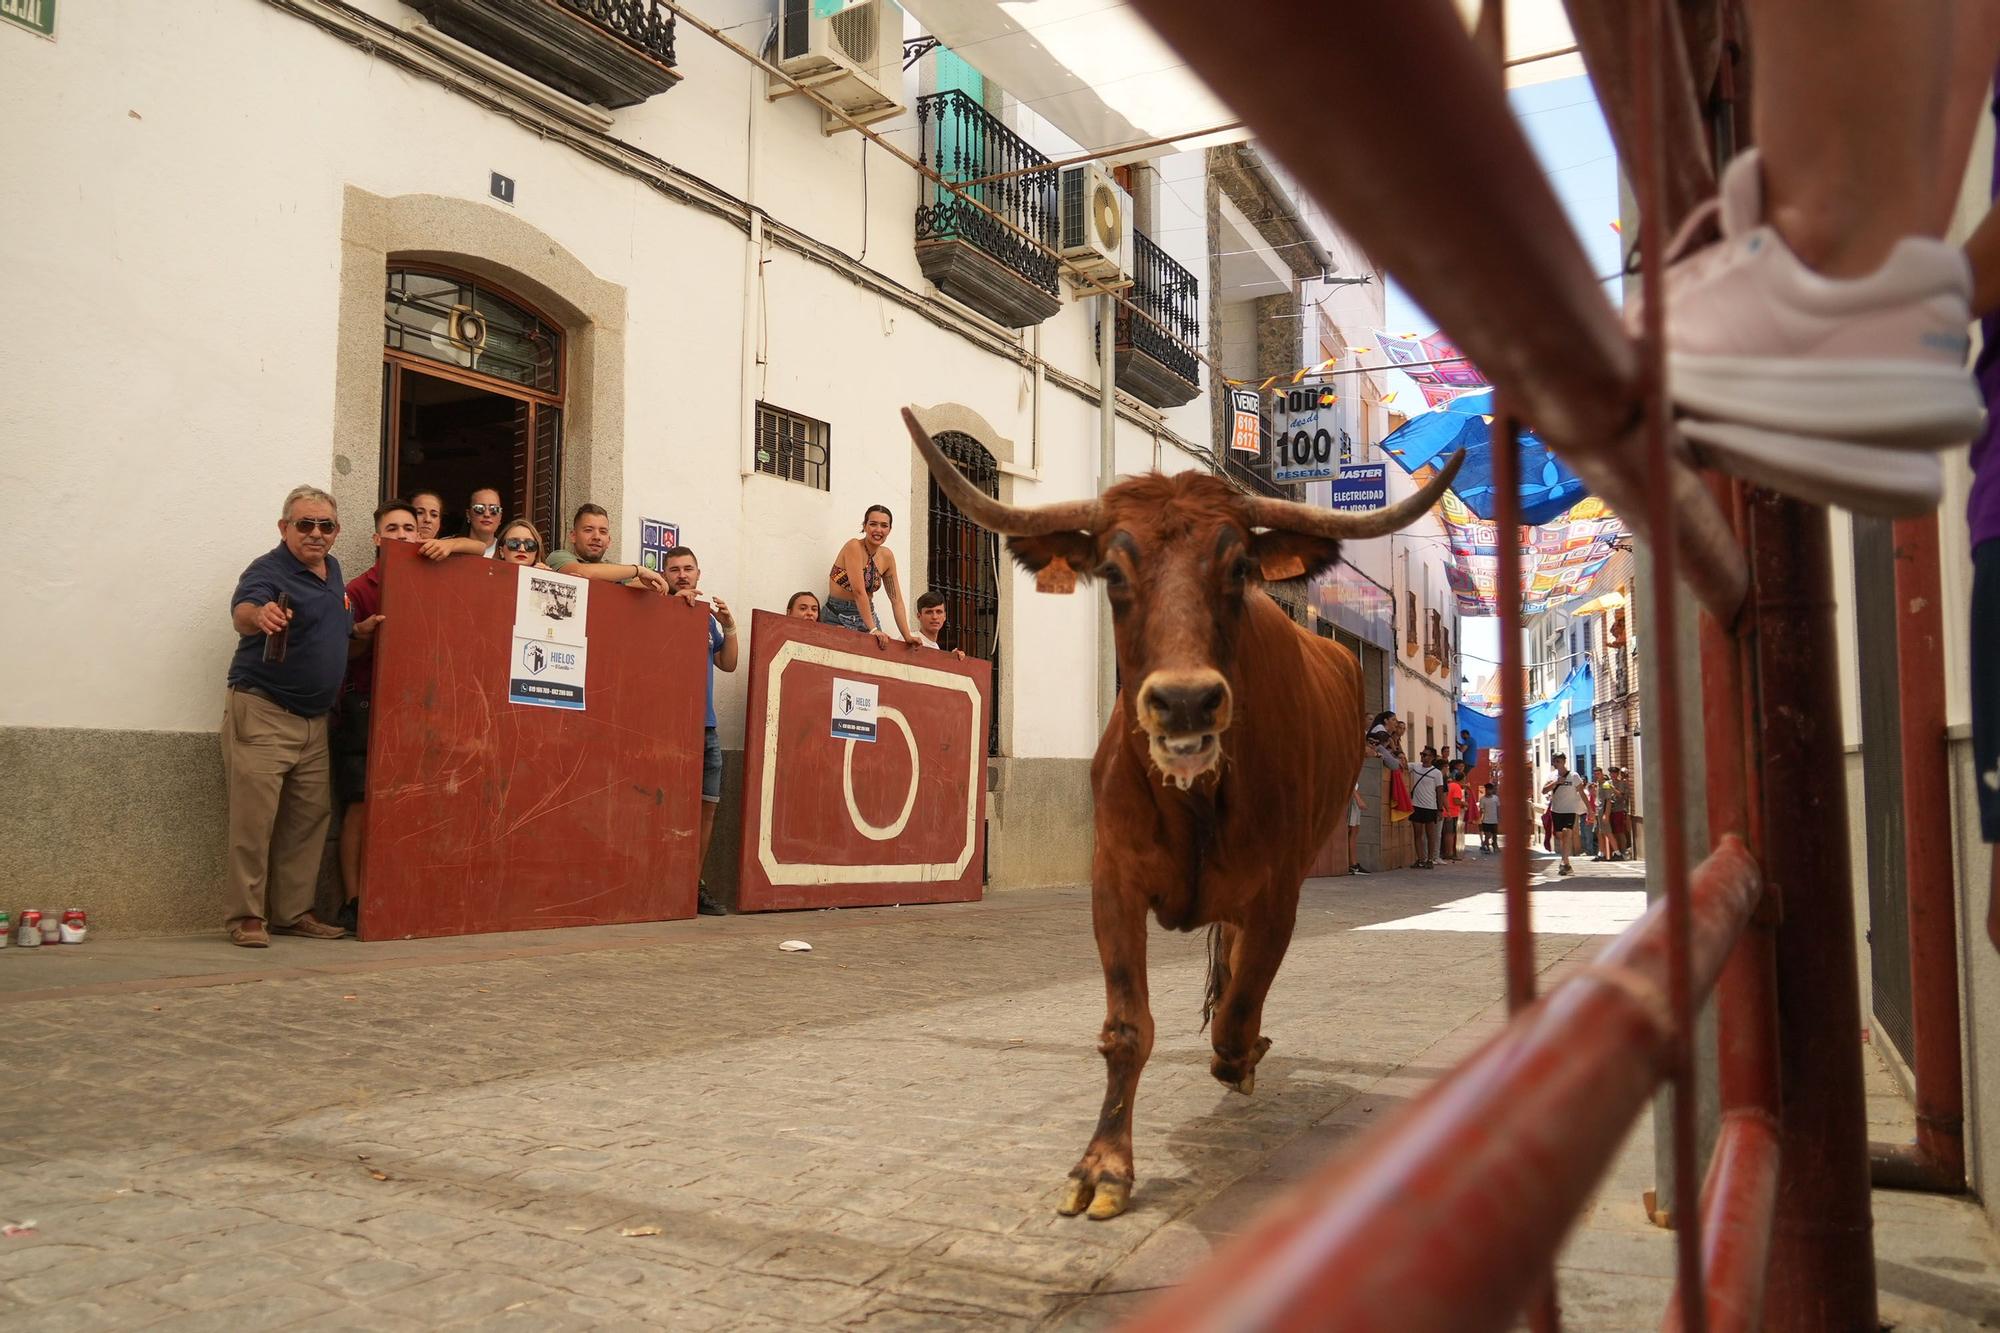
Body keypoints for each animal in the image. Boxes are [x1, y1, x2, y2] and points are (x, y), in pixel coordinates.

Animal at [916, 404, 1464, 1216]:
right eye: (1113, 572)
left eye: (1237, 568)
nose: (1183, 702)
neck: (1196, 802)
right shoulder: (1113, 881)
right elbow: (1126, 1026)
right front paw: (1103, 1164)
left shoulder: (1277, 893)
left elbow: (1237, 1014)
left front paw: (1241, 1054)